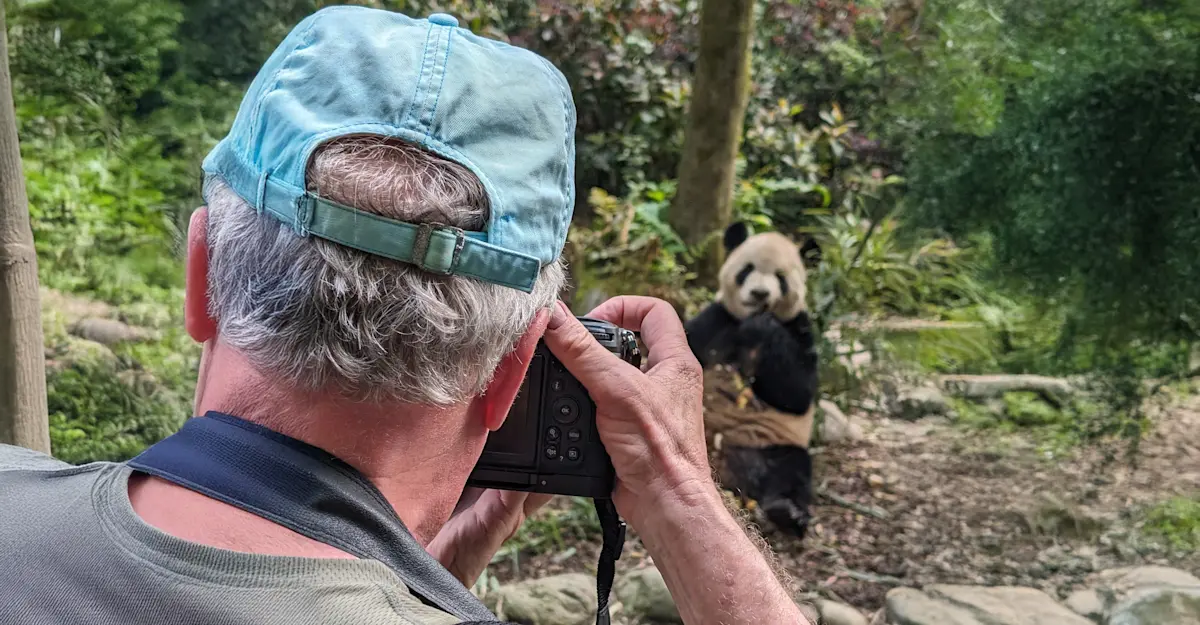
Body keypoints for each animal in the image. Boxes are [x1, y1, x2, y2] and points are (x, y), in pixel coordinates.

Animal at [685, 222, 820, 538]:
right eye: (747, 269)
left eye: (781, 278)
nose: (759, 294)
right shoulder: (717, 317)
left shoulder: (798, 327)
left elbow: (798, 392)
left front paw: (761, 325)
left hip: (769, 443)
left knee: (792, 469)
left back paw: (788, 512)